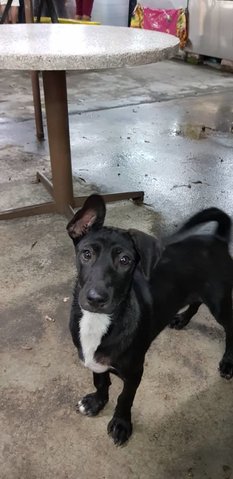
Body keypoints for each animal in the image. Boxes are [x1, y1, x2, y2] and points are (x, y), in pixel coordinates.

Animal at [67, 195, 233, 446]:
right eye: (86, 254)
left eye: (125, 260)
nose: (96, 298)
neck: (99, 321)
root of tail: (218, 239)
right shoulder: (94, 360)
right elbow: (101, 381)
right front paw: (97, 402)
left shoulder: (135, 371)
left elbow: (125, 398)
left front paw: (121, 424)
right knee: (195, 302)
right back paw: (182, 319)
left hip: (220, 302)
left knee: (231, 328)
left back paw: (228, 362)